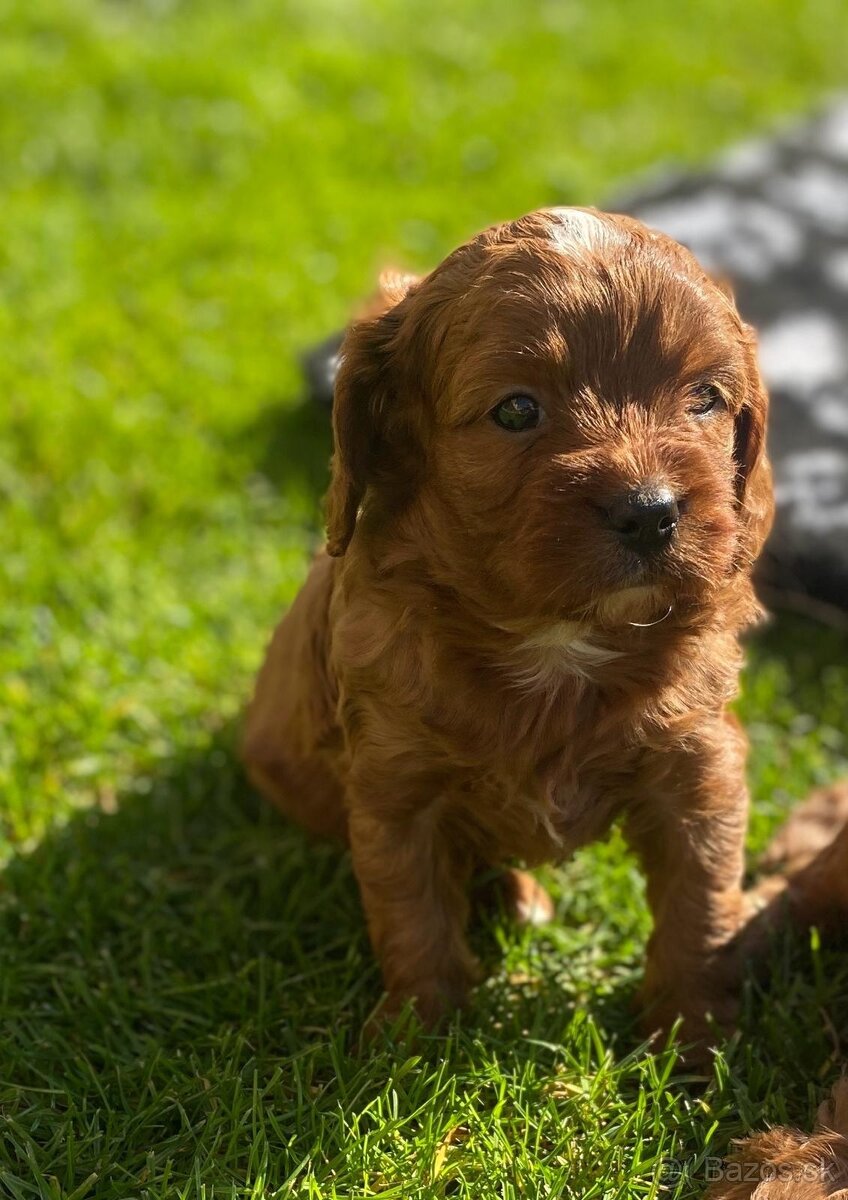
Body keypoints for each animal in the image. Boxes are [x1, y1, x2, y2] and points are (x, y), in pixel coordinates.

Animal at [241, 208, 777, 1051]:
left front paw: (692, 1038)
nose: (651, 512)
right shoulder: (396, 788)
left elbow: (700, 905)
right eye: (518, 411)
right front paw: (414, 1040)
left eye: (704, 398)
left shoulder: (697, 765)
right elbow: (414, 917)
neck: (557, 641)